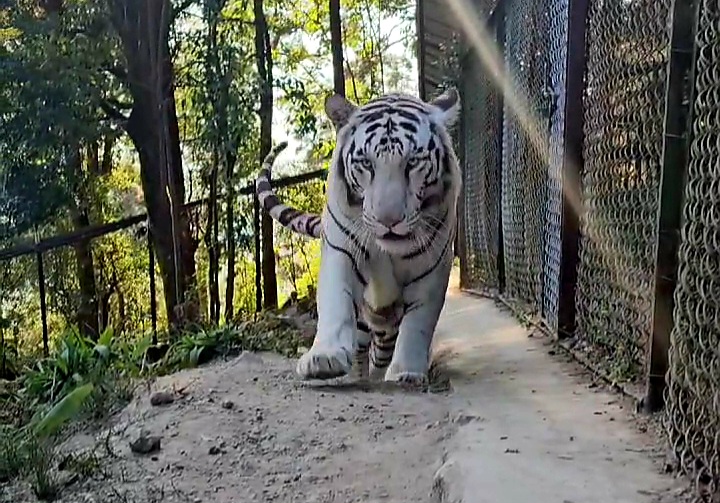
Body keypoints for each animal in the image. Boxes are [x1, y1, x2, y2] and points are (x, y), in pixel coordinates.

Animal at [255, 88, 461, 386]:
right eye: (366, 163)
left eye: (413, 162)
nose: (389, 221)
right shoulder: (340, 249)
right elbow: (335, 303)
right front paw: (324, 359)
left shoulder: (433, 266)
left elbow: (419, 322)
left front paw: (407, 372)